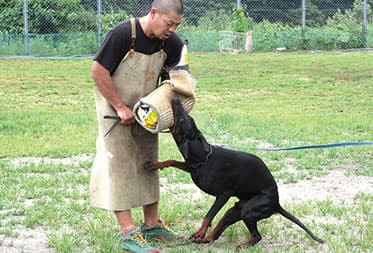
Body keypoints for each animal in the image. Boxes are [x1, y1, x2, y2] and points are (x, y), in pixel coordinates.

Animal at [145, 97, 322, 249]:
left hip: (248, 211)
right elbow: (172, 161)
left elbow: (208, 215)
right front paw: (154, 165)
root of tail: (276, 204)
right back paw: (203, 240)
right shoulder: (192, 166)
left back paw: (239, 244)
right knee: (215, 236)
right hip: (235, 211)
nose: (175, 98)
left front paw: (200, 231)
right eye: (187, 118)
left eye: (183, 120)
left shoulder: (224, 194)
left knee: (256, 236)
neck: (204, 158)